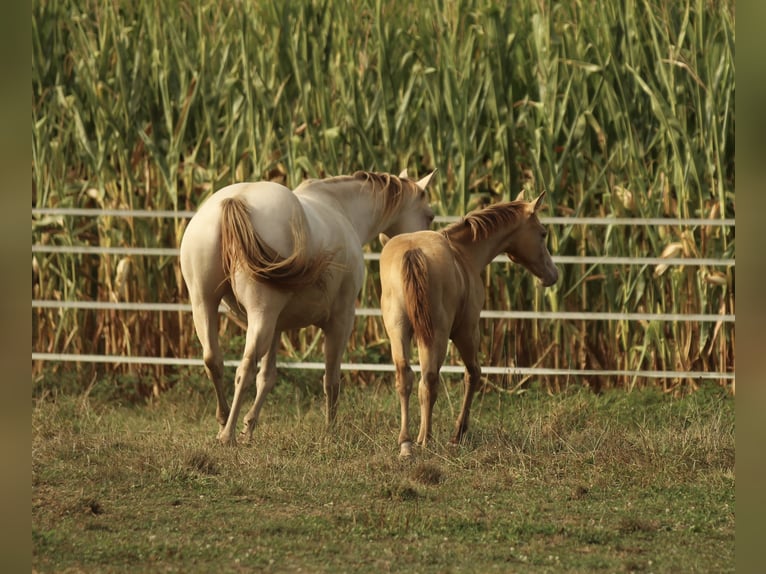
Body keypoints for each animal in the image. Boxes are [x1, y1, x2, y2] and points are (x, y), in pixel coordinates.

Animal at [177, 169, 436, 448]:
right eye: (430, 215)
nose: (423, 244)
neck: (341, 208)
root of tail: (235, 200)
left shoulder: (276, 328)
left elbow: (266, 378)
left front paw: (249, 428)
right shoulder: (341, 321)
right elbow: (331, 379)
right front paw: (330, 431)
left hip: (204, 304)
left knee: (213, 361)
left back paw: (224, 421)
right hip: (259, 313)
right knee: (244, 368)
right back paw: (227, 435)